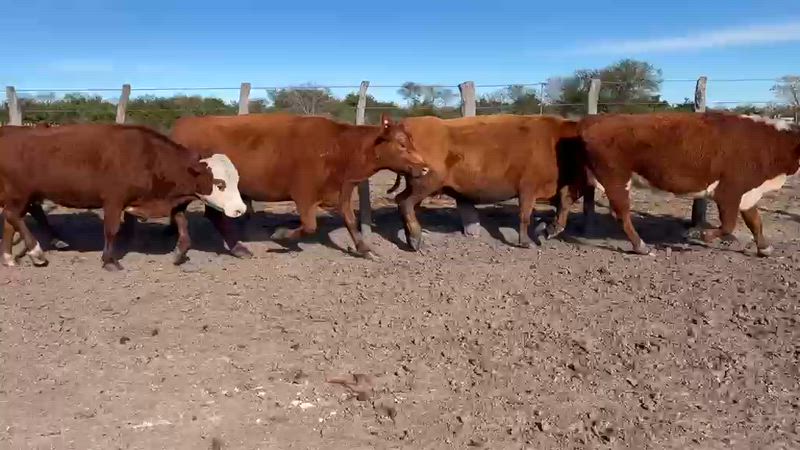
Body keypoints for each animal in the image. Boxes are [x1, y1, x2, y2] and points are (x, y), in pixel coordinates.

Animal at [0, 123, 247, 271]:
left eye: (236, 180)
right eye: (220, 183)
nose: (240, 209)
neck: (148, 157)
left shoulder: (171, 201)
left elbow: (183, 226)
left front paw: (179, 253)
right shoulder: (113, 200)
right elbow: (111, 230)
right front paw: (109, 261)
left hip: (23, 195)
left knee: (13, 219)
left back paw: (10, 257)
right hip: (20, 193)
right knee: (12, 215)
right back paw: (36, 252)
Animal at [170, 112, 430, 259]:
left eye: (411, 141)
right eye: (401, 144)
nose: (426, 168)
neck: (338, 147)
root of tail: (182, 125)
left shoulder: (343, 191)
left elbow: (350, 222)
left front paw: (365, 250)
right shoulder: (304, 195)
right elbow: (309, 226)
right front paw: (281, 234)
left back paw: (237, 249)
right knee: (181, 213)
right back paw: (182, 248)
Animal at [385, 114, 589, 250]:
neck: (557, 143)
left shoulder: (563, 187)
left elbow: (563, 207)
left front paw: (549, 229)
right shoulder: (528, 187)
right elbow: (524, 216)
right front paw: (526, 242)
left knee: (403, 201)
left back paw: (411, 237)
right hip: (426, 182)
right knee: (405, 202)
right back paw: (415, 238)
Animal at [574, 111, 800, 256]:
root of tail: (592, 120)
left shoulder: (749, 193)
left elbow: (755, 222)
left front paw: (765, 248)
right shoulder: (729, 191)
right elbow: (729, 224)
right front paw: (702, 234)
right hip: (616, 179)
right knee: (622, 214)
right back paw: (641, 246)